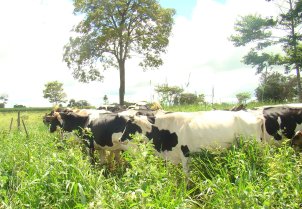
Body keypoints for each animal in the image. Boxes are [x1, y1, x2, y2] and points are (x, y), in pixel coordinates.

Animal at [119, 110, 264, 172]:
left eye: (129, 126)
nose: (120, 139)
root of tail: (257, 116)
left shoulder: (185, 154)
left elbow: (186, 175)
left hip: (254, 145)